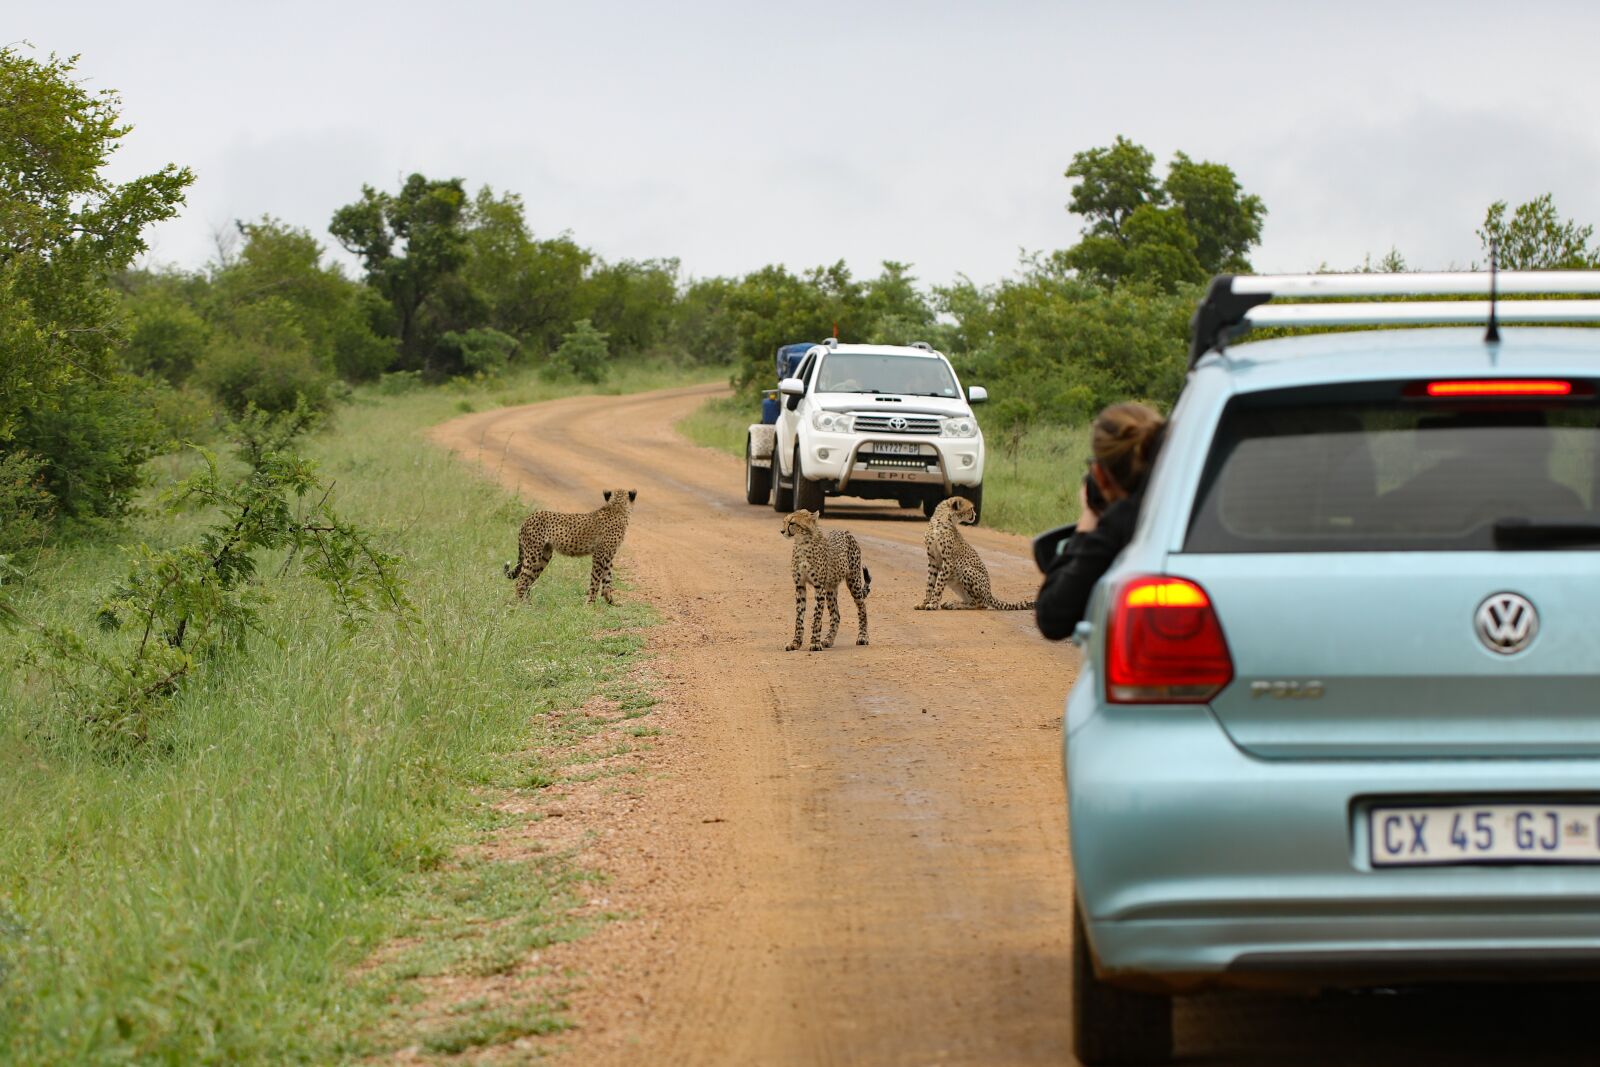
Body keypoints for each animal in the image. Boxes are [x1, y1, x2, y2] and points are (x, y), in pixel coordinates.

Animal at [504, 489, 636, 604]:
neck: (617, 507)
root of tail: (529, 517)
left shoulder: (609, 555)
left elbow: (608, 577)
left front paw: (610, 600)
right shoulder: (599, 554)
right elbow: (596, 579)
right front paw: (590, 604)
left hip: (544, 556)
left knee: (528, 581)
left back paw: (529, 603)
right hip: (533, 555)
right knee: (521, 581)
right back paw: (522, 605)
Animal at [780, 508, 870, 651]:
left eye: (792, 523)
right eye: (784, 521)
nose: (782, 531)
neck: (802, 544)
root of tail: (845, 531)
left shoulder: (819, 587)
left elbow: (817, 617)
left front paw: (815, 643)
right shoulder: (800, 586)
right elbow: (799, 617)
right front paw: (796, 643)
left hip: (854, 581)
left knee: (862, 608)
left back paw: (862, 637)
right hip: (830, 589)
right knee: (836, 615)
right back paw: (828, 640)